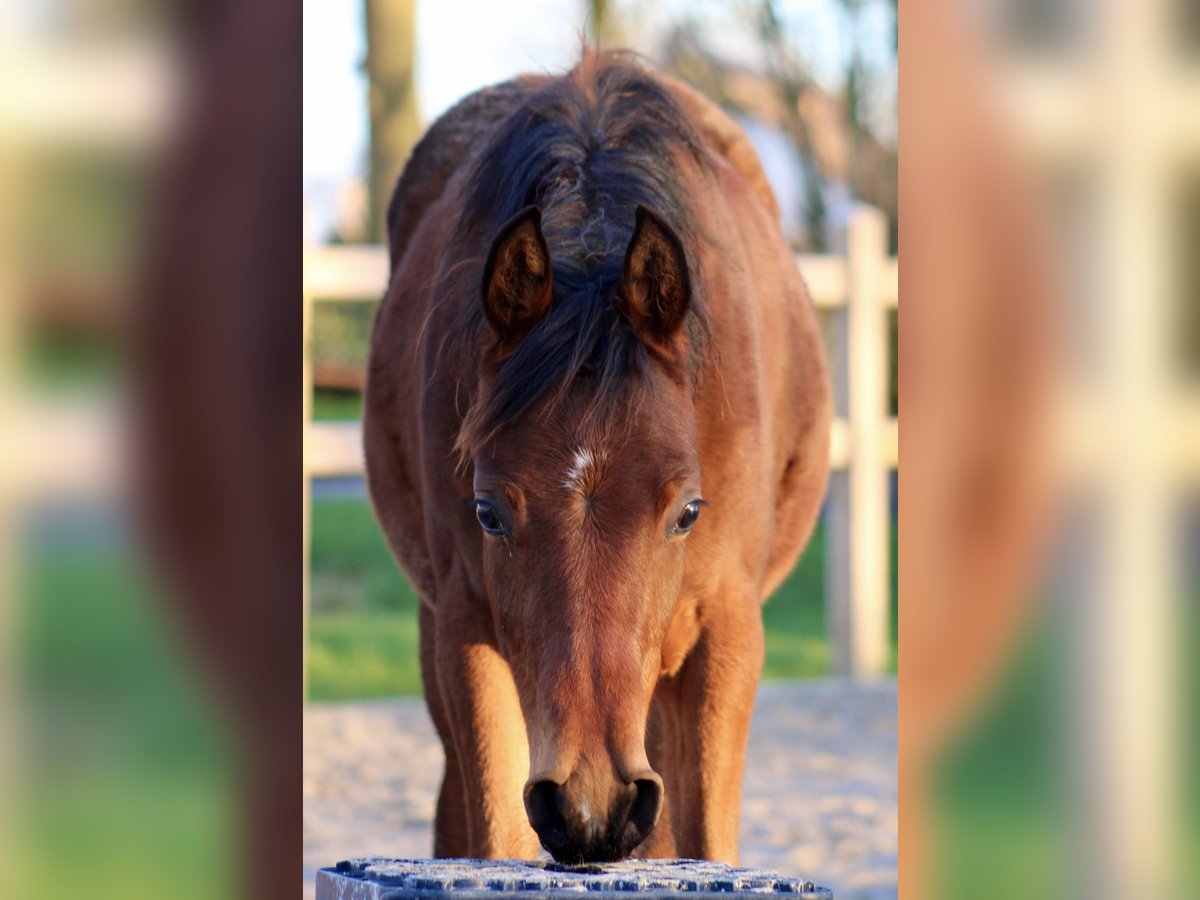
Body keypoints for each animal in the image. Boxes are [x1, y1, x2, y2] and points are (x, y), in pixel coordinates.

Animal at [364, 51, 830, 868]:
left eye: (688, 512)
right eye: (488, 512)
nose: (592, 808)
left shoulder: (728, 632)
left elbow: (706, 839)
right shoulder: (462, 628)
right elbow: (494, 833)